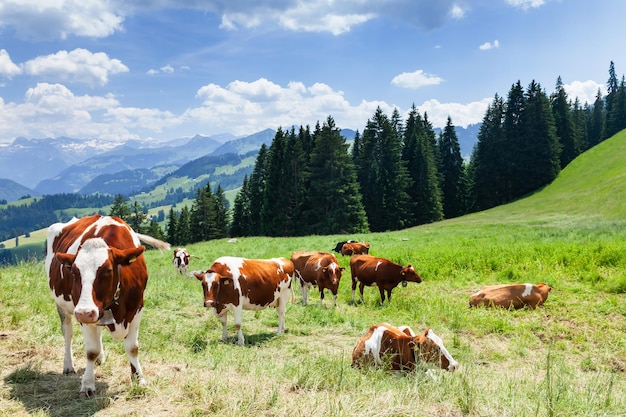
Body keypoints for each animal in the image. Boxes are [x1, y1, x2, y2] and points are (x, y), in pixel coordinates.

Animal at [45, 214, 169, 396]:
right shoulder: (84, 313)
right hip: (63, 306)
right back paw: (68, 365)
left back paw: (100, 358)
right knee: (67, 332)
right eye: (73, 271)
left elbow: (132, 347)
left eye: (108, 270)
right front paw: (87, 384)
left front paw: (139, 379)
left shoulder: (137, 309)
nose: (84, 313)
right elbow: (91, 351)